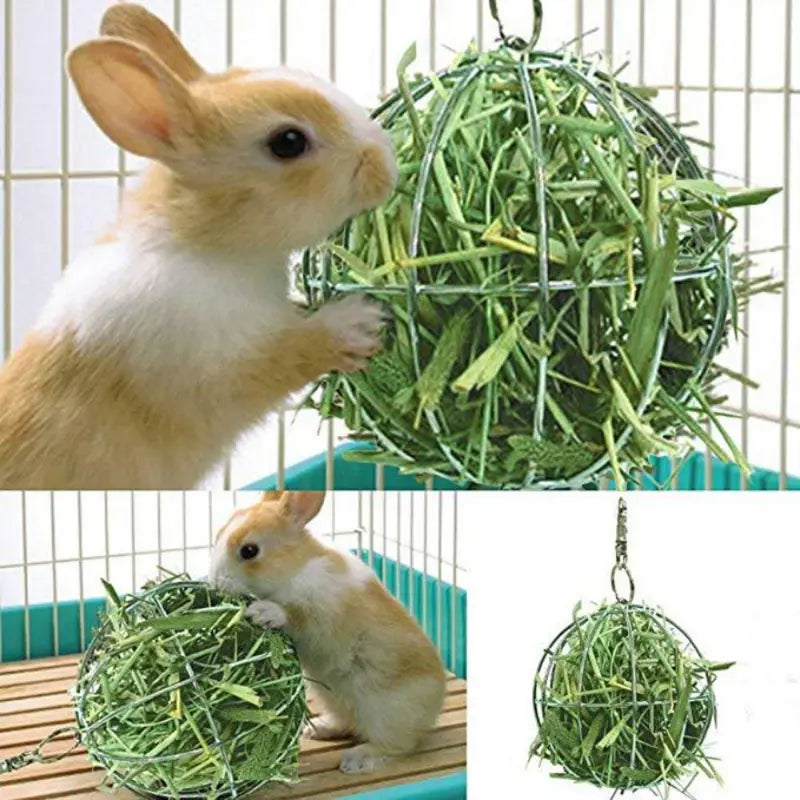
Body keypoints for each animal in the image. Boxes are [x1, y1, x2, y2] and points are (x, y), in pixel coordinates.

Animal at [0, 3, 396, 489]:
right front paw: (361, 321)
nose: (387, 165)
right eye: (288, 142)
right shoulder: (216, 364)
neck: (205, 245)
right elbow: (290, 353)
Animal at [208, 491, 447, 775]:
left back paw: (356, 759)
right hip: (334, 699)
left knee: (398, 746)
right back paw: (317, 729)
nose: (214, 582)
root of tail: (435, 707)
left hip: (385, 713)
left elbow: (296, 616)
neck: (296, 569)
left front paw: (263, 612)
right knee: (347, 723)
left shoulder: (321, 615)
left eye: (249, 551)